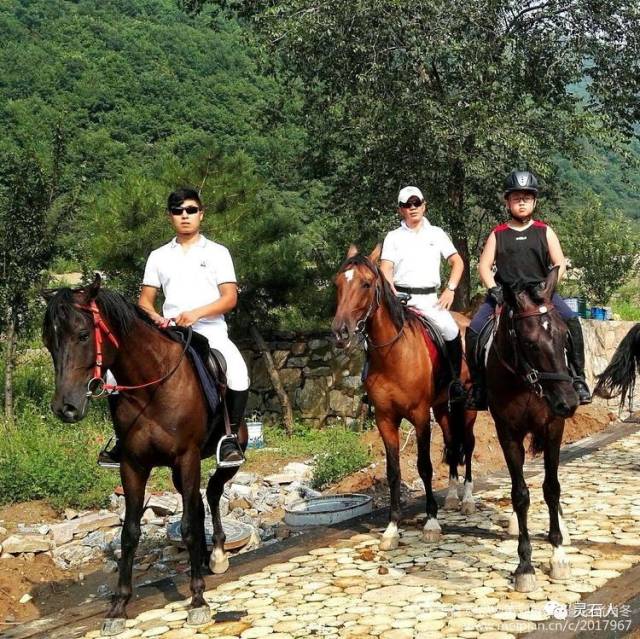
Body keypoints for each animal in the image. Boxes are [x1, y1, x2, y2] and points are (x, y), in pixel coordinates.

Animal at [40, 276, 245, 636]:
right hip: (178, 471)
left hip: (225, 452)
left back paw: (218, 554)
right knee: (198, 501)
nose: (65, 408)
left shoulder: (188, 456)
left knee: (213, 491)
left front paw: (197, 601)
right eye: (49, 341)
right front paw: (119, 607)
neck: (151, 384)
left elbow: (189, 525)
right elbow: (130, 532)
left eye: (83, 334)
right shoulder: (133, 465)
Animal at [332, 245, 478, 552]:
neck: (393, 354)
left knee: (468, 446)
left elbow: (424, 466)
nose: (340, 332)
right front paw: (392, 528)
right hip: (443, 409)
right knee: (451, 443)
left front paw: (431, 523)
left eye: (366, 284)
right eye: (338, 284)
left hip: (467, 408)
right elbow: (394, 472)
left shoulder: (420, 416)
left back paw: (467, 499)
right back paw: (452, 496)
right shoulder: (385, 419)